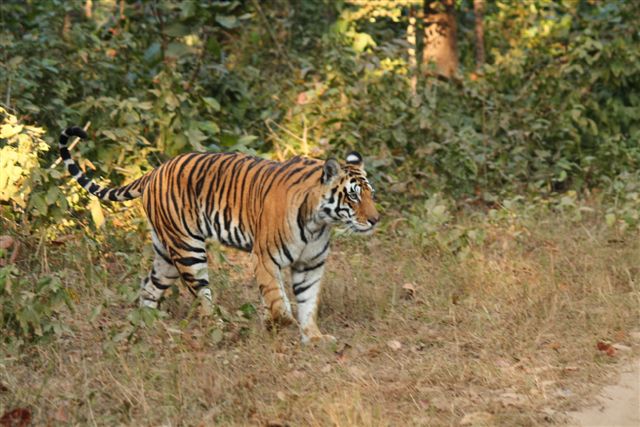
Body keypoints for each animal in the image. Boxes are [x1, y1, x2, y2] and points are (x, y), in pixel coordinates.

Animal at [58, 125, 380, 342]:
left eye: (370, 194)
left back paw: (150, 325)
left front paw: (313, 337)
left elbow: (308, 302)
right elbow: (277, 298)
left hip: (166, 255)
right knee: (203, 300)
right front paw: (279, 323)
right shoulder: (264, 258)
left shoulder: (310, 265)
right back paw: (222, 327)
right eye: (353, 196)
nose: (375, 220)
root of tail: (154, 171)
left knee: (149, 287)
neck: (318, 222)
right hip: (188, 251)